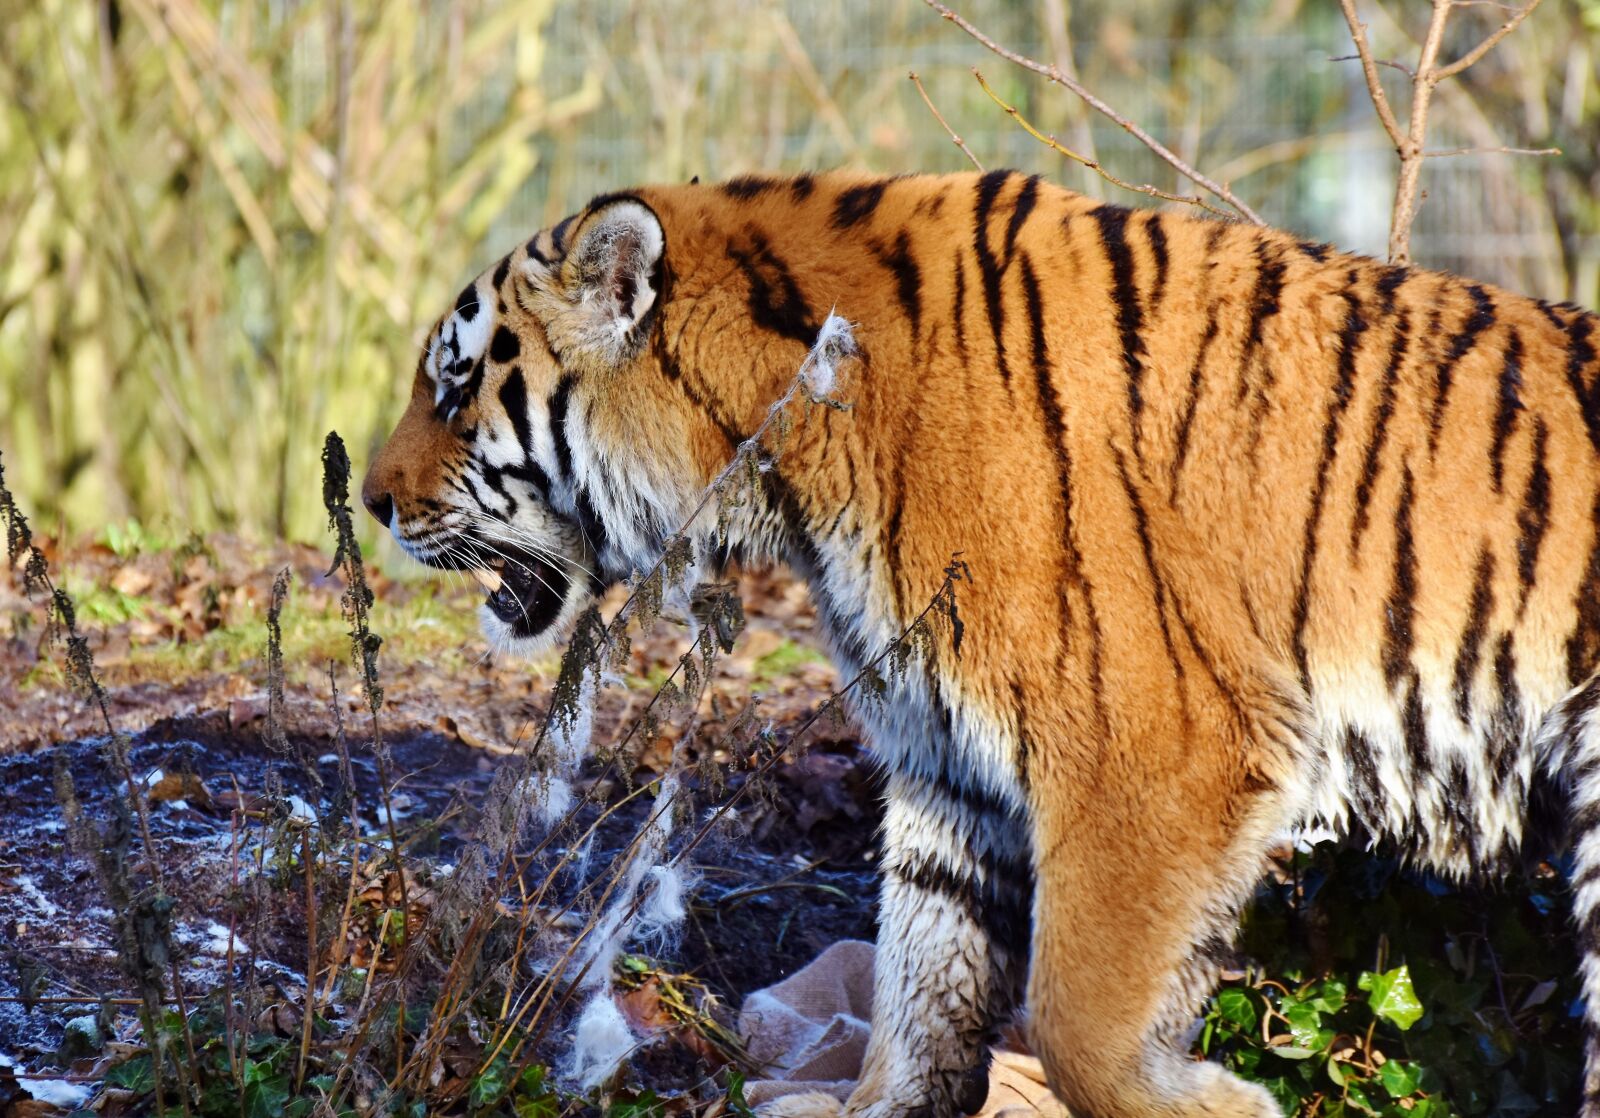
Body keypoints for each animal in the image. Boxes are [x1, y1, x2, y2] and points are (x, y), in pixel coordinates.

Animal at [361, 169, 1600, 1117]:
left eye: (455, 386)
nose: (369, 499)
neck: (792, 466)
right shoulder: (942, 756)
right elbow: (920, 981)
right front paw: (875, 1104)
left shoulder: (1150, 757)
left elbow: (1075, 1018)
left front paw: (1215, 1101)